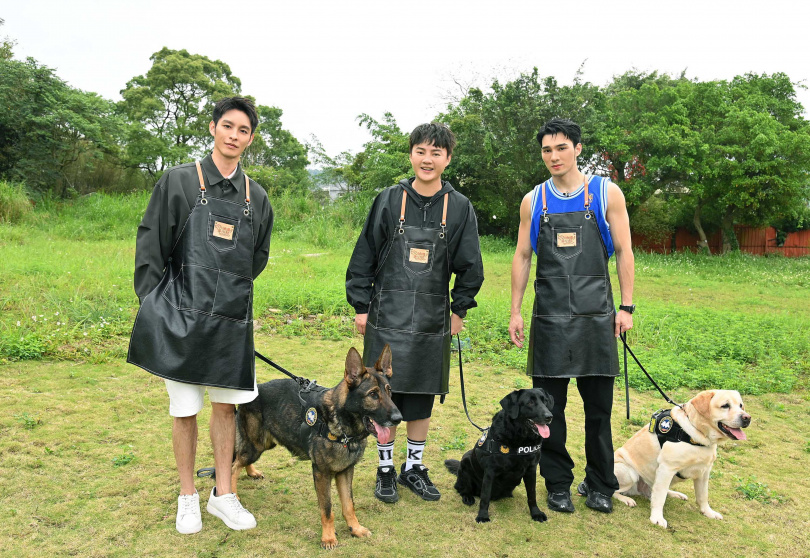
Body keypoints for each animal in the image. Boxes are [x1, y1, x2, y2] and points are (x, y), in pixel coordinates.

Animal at [230, 346, 400, 552]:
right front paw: (328, 538)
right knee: (233, 466)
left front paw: (355, 528)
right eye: (373, 394)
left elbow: (349, 505)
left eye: (389, 392)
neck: (342, 425)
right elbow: (327, 509)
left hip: (264, 444)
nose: (399, 418)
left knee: (240, 460)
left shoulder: (345, 471)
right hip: (254, 446)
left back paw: (252, 472)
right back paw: (233, 494)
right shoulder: (321, 473)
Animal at [446, 390, 552, 524]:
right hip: (465, 461)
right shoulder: (490, 471)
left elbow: (532, 495)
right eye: (530, 402)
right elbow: (485, 497)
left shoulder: (531, 470)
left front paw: (536, 513)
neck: (520, 440)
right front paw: (483, 516)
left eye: (545, 401)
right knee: (461, 488)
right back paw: (467, 497)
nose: (549, 416)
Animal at [616, 390, 748, 528]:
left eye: (741, 406)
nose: (747, 418)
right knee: (615, 491)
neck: (697, 435)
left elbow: (703, 496)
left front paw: (708, 512)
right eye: (725, 405)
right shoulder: (666, 469)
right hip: (628, 472)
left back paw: (676, 494)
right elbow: (660, 497)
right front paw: (657, 517)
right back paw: (626, 499)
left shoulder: (704, 472)